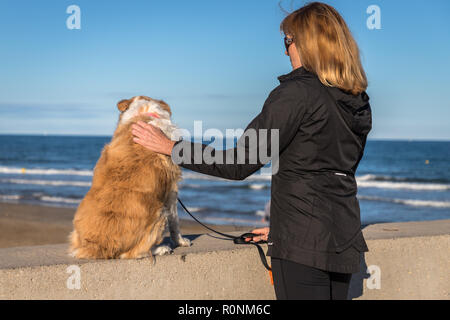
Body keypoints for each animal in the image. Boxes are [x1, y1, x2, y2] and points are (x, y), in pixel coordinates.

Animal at [69, 95, 191, 260]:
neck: (142, 114)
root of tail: (97, 247)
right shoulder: (171, 188)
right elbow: (175, 222)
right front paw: (181, 241)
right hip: (160, 213)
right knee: (134, 253)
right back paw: (161, 249)